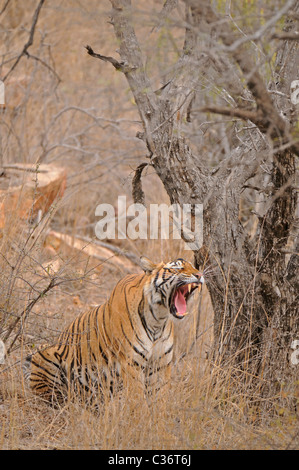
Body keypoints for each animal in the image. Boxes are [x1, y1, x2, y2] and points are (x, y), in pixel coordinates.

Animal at [23, 255, 205, 406]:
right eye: (177, 268)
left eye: (193, 267)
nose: (199, 275)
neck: (158, 319)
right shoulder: (132, 364)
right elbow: (138, 401)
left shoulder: (160, 365)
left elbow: (160, 400)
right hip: (44, 354)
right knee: (51, 396)